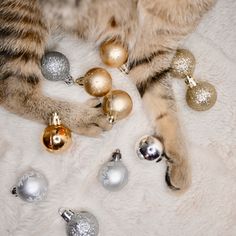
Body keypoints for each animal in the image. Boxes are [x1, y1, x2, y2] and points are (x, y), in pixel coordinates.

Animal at [0, 0, 216, 192]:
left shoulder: (151, 53)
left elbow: (166, 108)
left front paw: (180, 161)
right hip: (22, 20)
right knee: (11, 91)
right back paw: (83, 119)